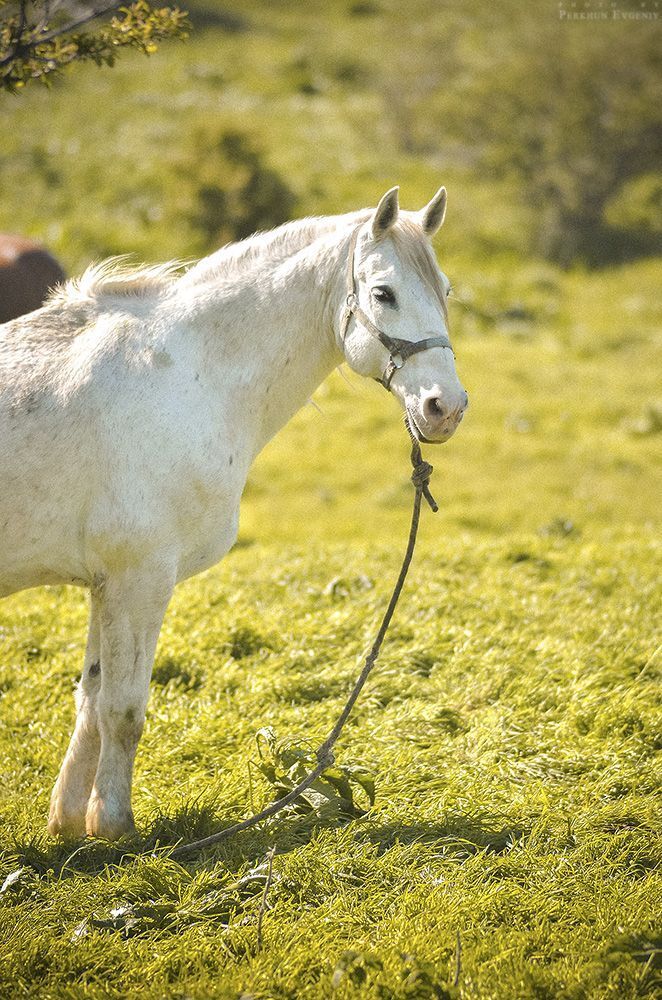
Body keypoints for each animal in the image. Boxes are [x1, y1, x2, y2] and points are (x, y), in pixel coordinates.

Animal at [0, 186, 467, 841]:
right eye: (384, 294)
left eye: (445, 291)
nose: (445, 407)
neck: (184, 377)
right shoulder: (140, 578)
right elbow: (123, 708)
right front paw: (116, 828)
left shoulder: (106, 582)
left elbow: (91, 701)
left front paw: (70, 824)